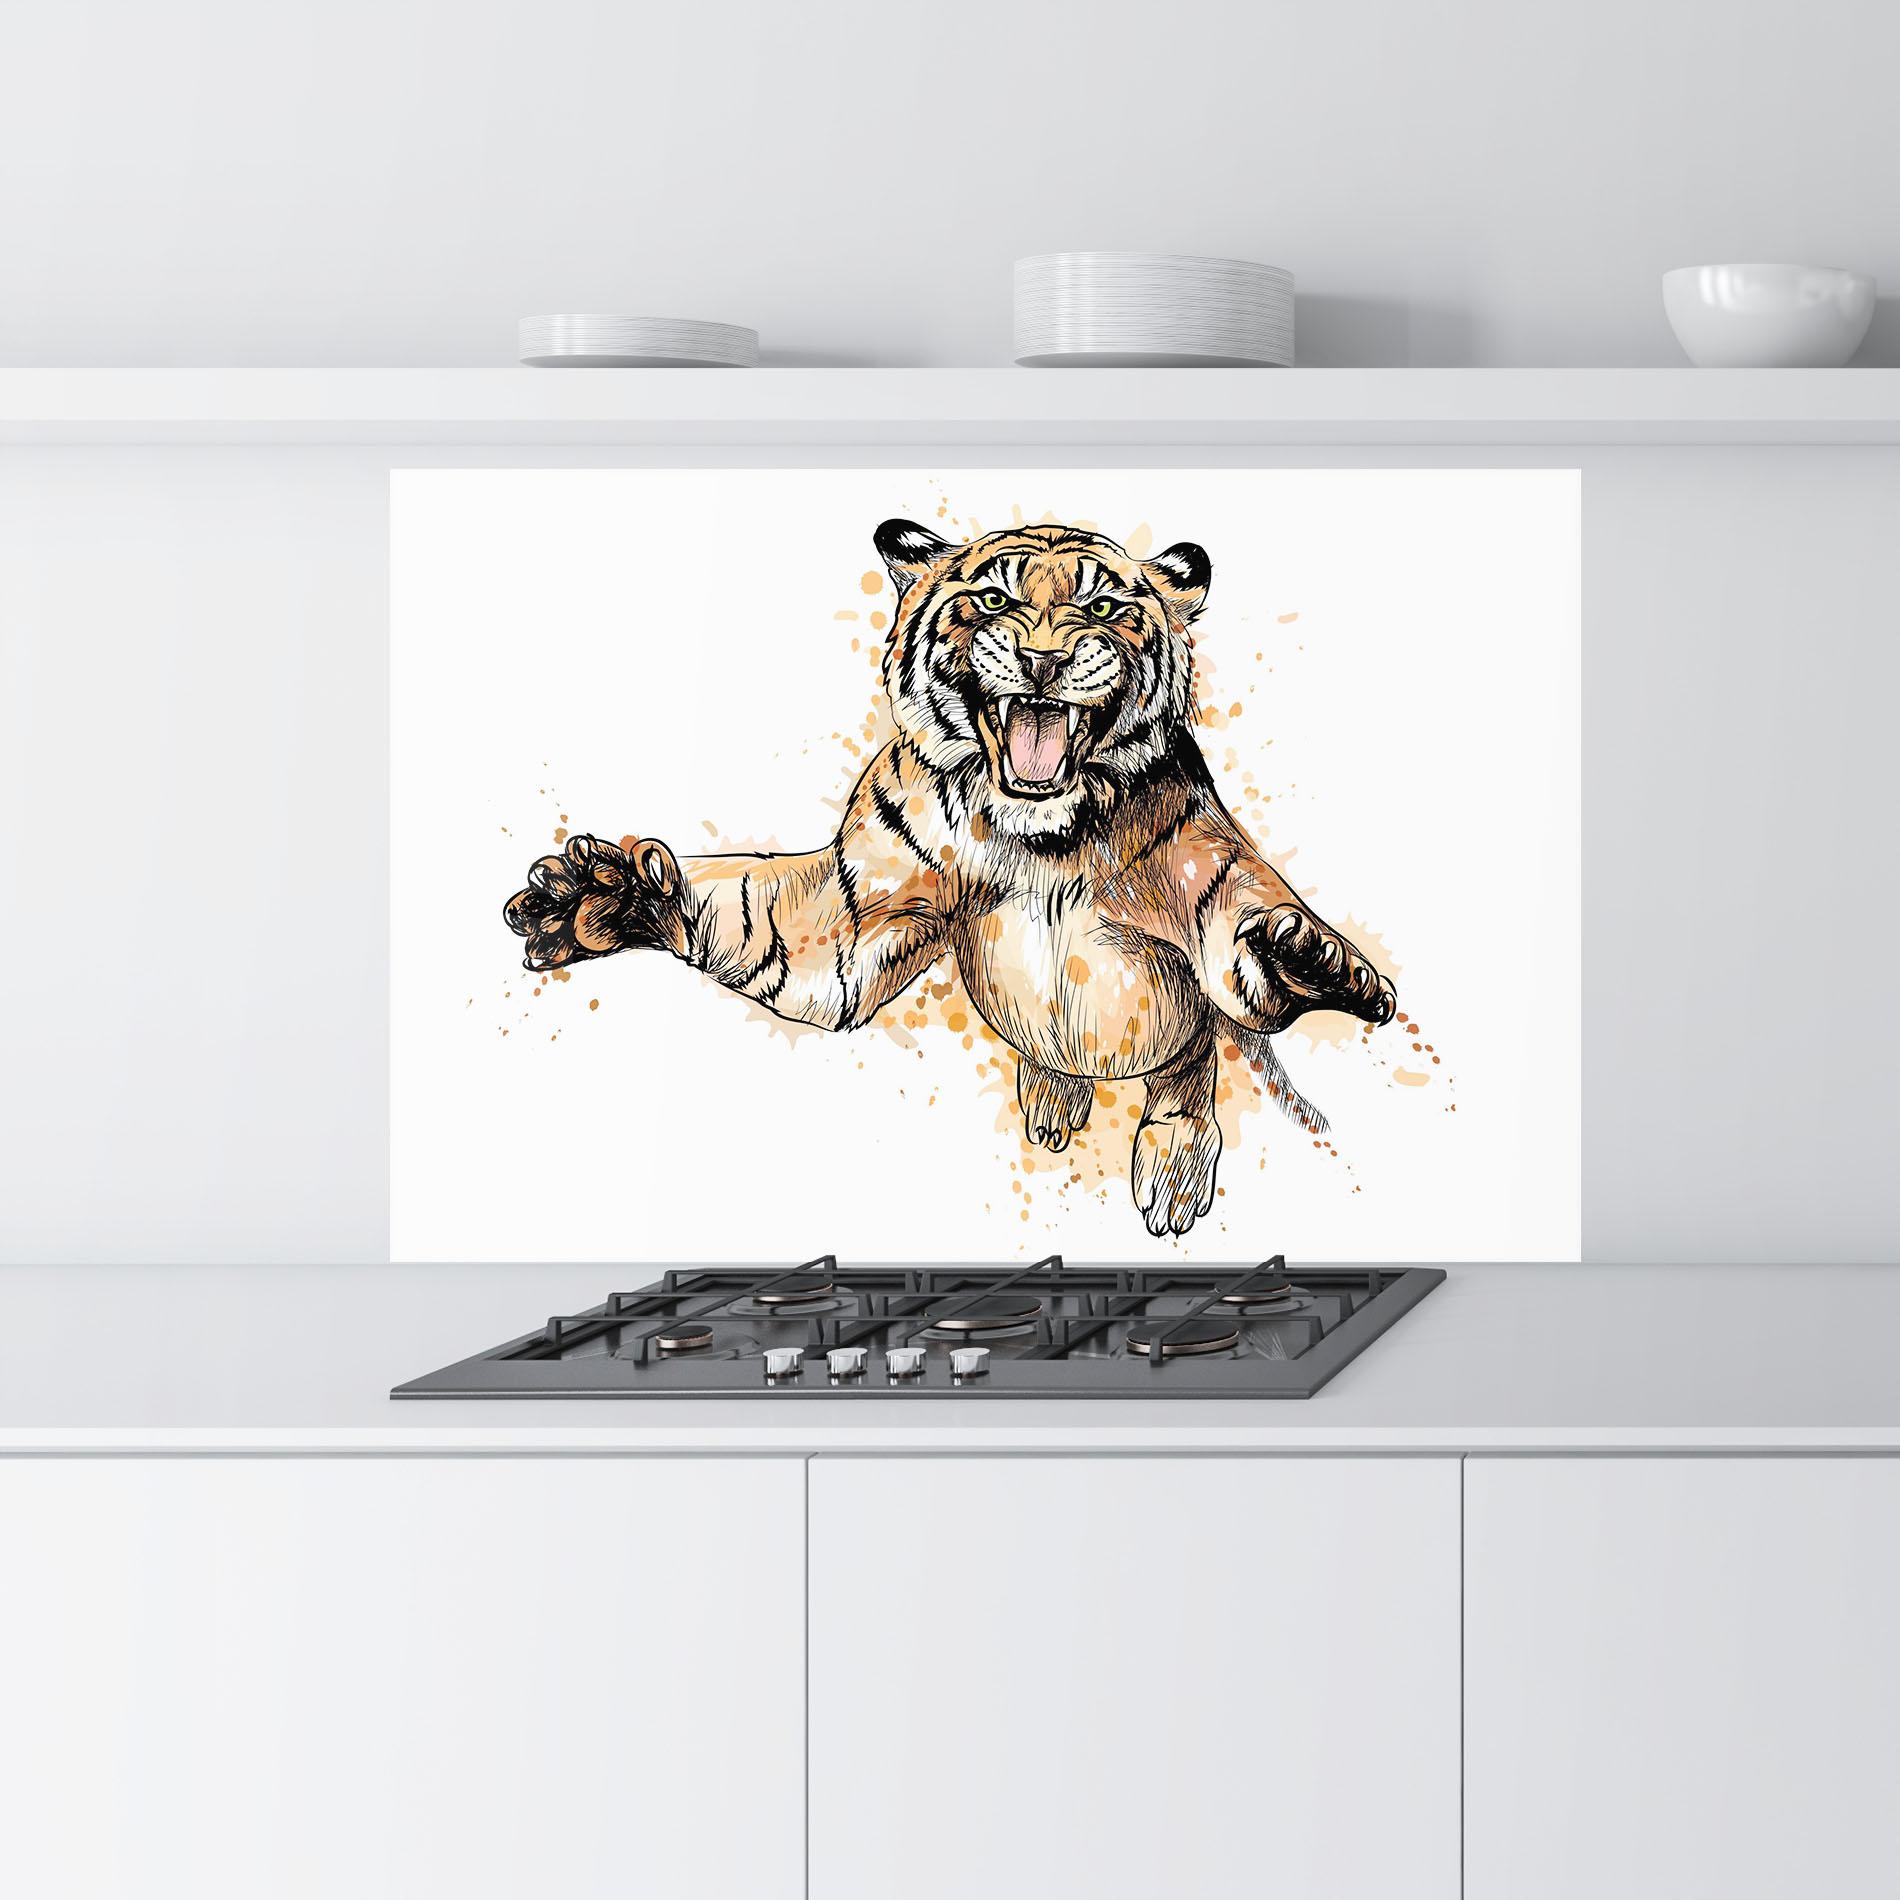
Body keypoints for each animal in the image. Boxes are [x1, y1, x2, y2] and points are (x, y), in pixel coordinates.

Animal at [503, 518, 1395, 1237]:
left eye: (1103, 609)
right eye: (995, 600)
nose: (1043, 658)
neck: (1038, 836)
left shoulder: (1208, 866)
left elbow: (1243, 924)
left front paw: (1308, 961)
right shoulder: (849, 925)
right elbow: (747, 917)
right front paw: (595, 898)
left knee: (1189, 1065)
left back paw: (1170, 1169)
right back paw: (1054, 1104)